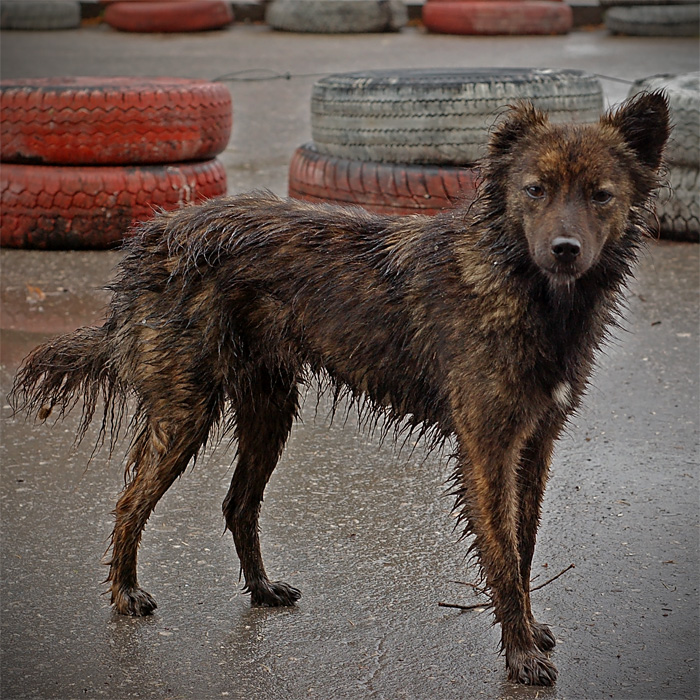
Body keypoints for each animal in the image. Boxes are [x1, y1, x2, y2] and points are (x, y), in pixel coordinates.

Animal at [9, 90, 668, 688]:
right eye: (534, 190)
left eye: (601, 194)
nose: (565, 250)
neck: (528, 288)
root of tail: (159, 234)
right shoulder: (488, 449)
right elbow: (504, 555)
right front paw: (522, 655)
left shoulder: (534, 444)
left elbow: (524, 546)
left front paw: (528, 630)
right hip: (186, 411)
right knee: (130, 502)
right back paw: (125, 592)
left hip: (270, 407)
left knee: (238, 503)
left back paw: (261, 589)